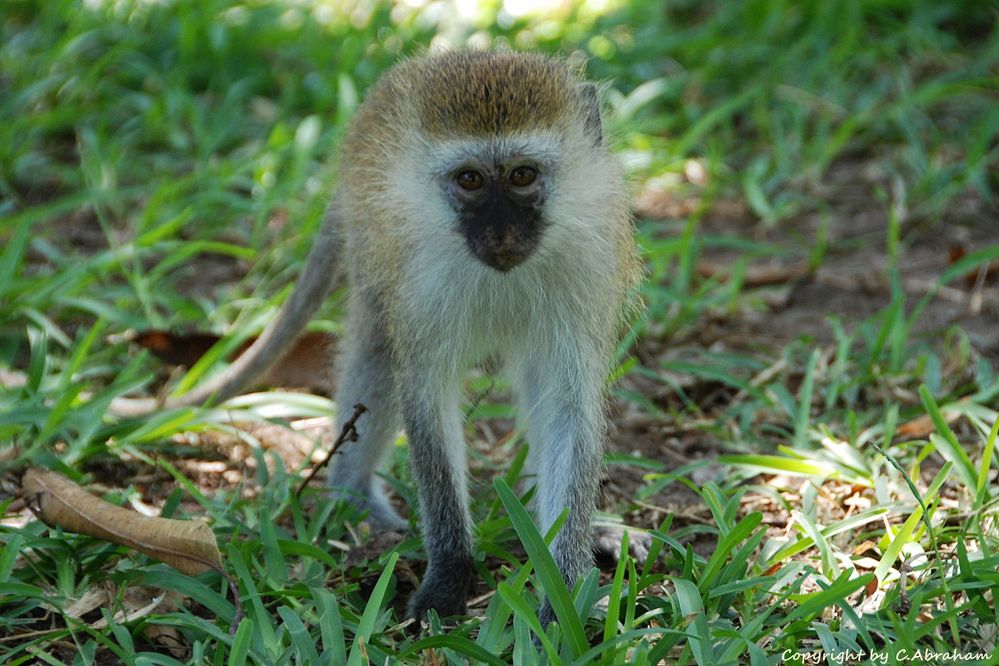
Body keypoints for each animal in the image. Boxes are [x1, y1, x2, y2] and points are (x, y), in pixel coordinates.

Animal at [111, 50, 640, 624]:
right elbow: (425, 396)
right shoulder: (414, 278)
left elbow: (566, 404)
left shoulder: (586, 263)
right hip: (370, 243)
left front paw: (563, 587)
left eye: (523, 175)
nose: (501, 234)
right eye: (470, 180)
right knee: (380, 351)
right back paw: (353, 493)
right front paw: (449, 575)